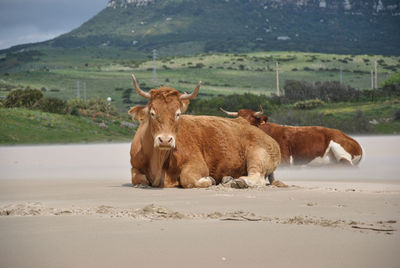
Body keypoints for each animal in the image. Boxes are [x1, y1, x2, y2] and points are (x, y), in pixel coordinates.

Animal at [127, 74, 282, 188]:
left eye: (178, 114)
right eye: (152, 113)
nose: (165, 140)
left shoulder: (197, 164)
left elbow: (187, 178)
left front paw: (209, 180)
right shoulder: (135, 168)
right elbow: (139, 179)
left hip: (257, 154)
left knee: (257, 177)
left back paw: (239, 181)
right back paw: (228, 179)